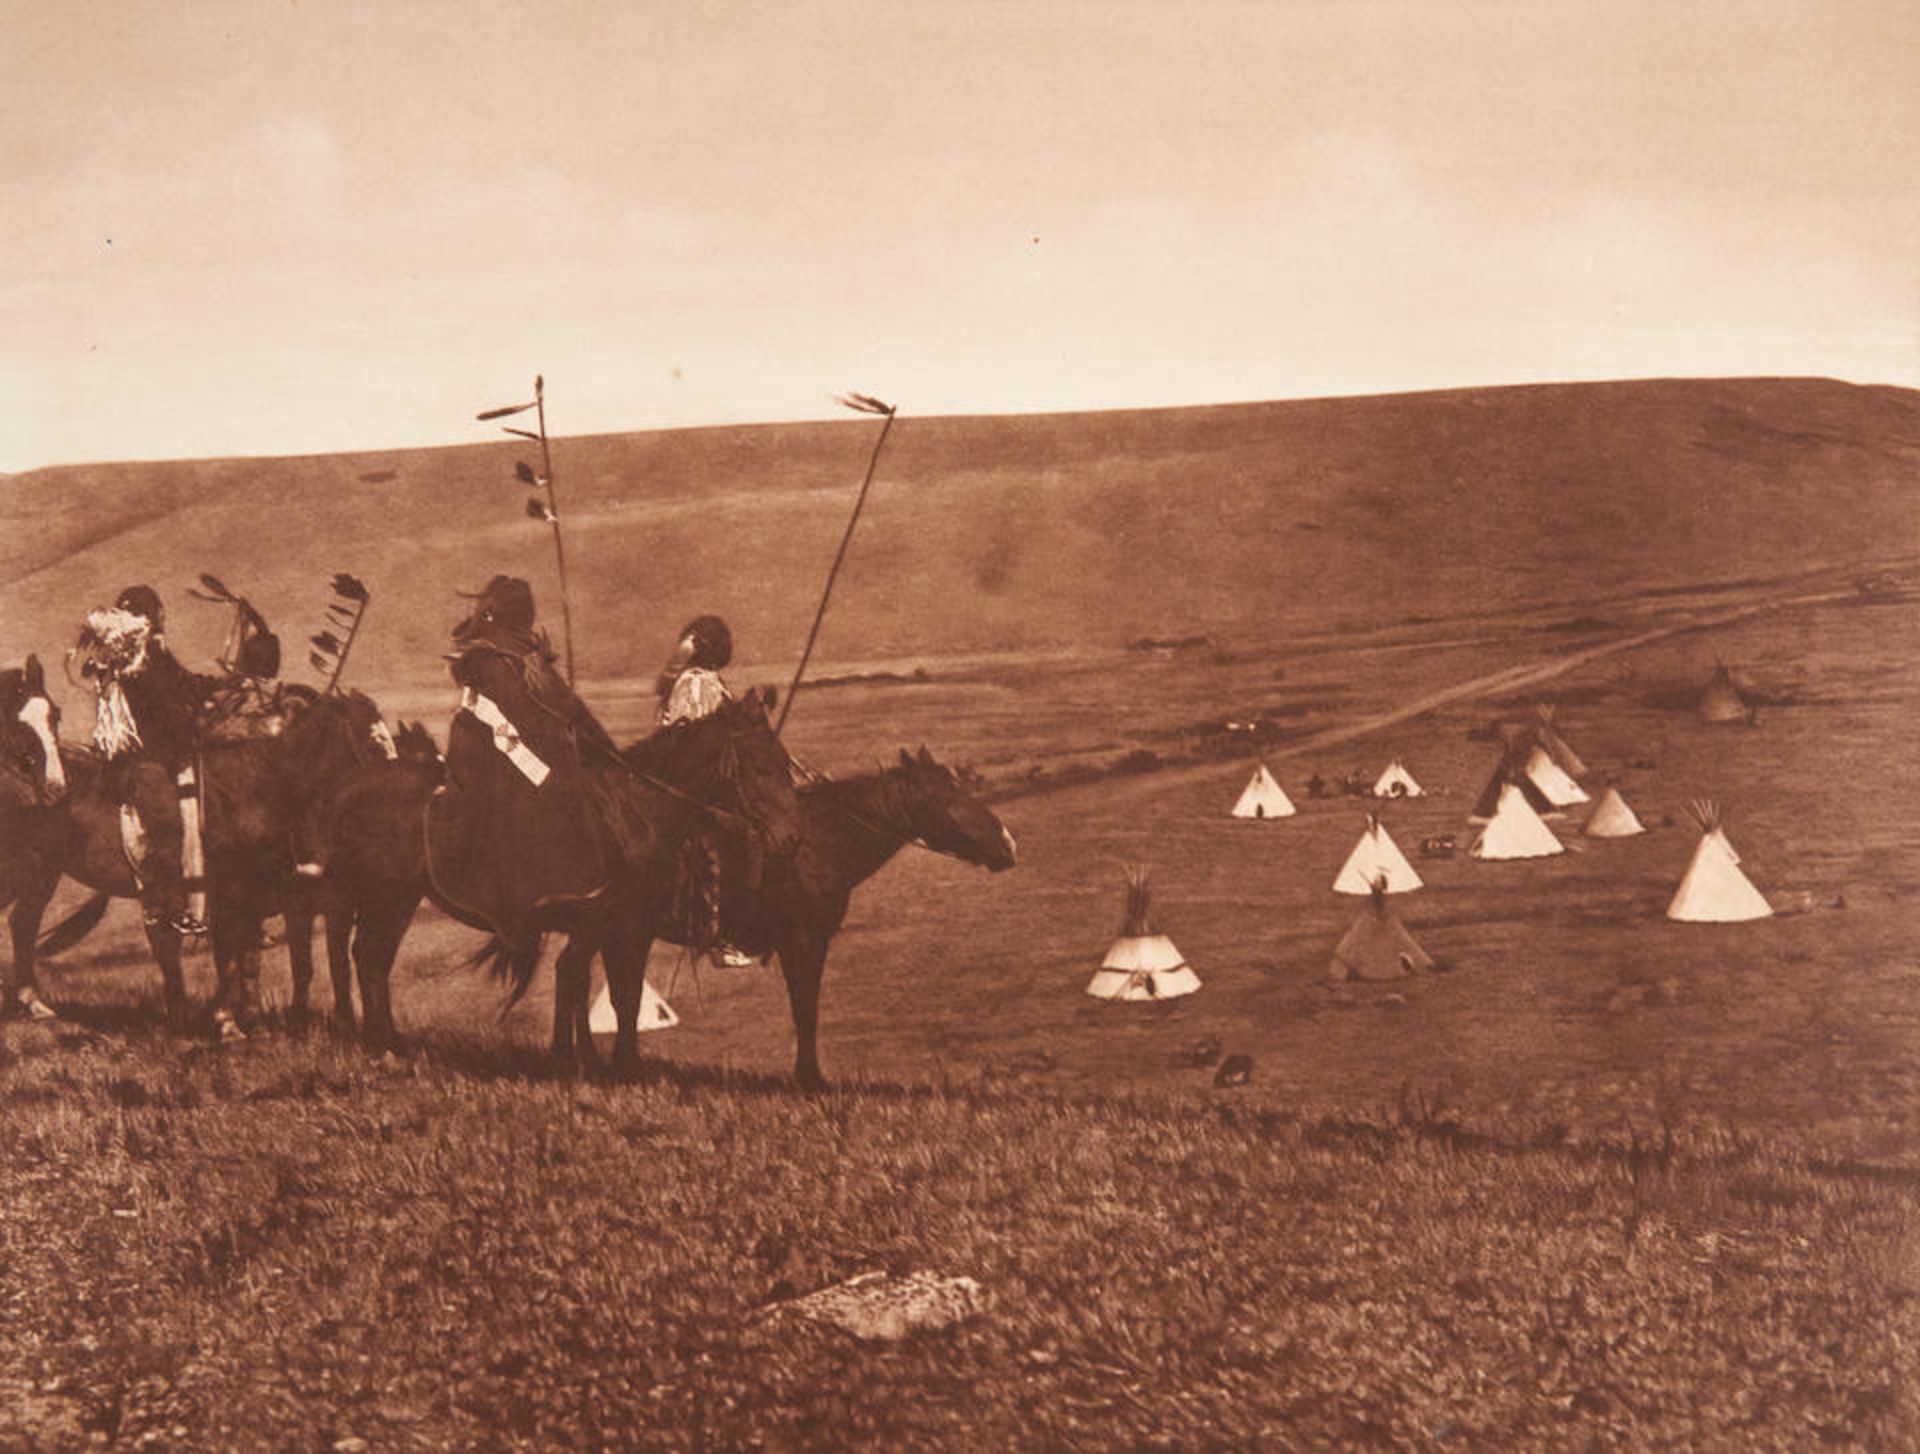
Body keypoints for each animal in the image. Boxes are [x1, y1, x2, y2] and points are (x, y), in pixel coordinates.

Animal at [322, 687, 802, 1052]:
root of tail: (349, 787)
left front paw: (580, 1055)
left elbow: (582, 982)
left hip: (393, 899)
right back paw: (383, 1046)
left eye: (783, 762)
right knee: (370, 957)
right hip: (388, 897)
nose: (791, 837)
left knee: (373, 958)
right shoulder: (621, 926)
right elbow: (617, 995)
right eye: (759, 766)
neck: (636, 816)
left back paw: (389, 1041)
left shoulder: (609, 928)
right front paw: (610, 1063)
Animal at [503, 741, 1029, 1083]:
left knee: (588, 981)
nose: (1008, 844)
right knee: (575, 973)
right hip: (607, 925)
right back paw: (575, 1062)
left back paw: (595, 1062)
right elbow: (805, 1008)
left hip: (614, 929)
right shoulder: (805, 940)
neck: (820, 841)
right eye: (945, 797)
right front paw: (810, 1078)